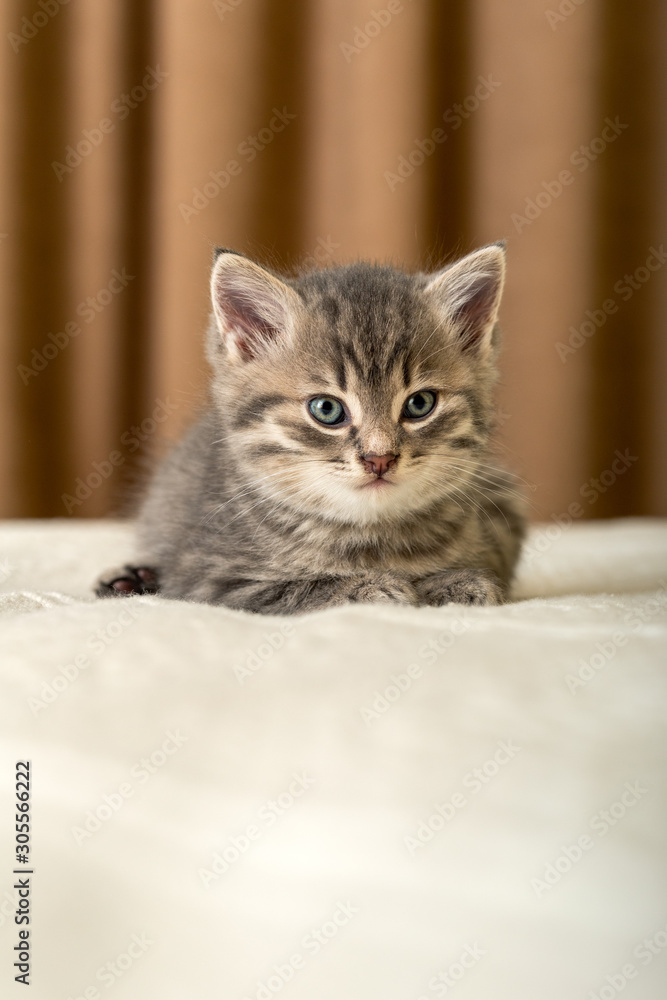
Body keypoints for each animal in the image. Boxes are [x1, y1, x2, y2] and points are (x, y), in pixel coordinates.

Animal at [96, 246, 528, 612]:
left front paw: (454, 581)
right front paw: (371, 585)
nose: (379, 458)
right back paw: (128, 580)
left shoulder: (500, 520)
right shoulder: (207, 577)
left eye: (420, 404)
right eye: (326, 409)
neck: (369, 536)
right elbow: (296, 589)